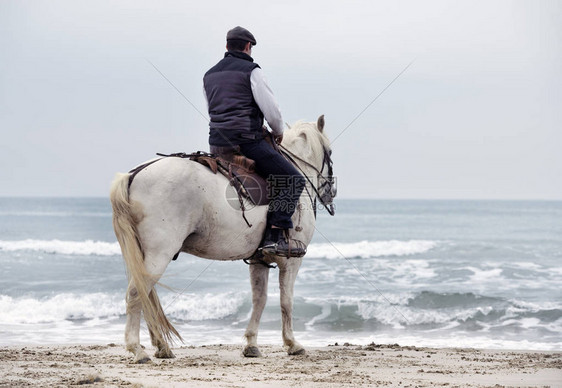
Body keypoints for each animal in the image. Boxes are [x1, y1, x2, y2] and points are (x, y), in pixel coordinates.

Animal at [110, 115, 332, 364]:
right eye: (330, 152)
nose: (331, 193)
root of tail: (135, 174)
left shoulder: (259, 260)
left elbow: (259, 299)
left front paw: (251, 344)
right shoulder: (292, 261)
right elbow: (287, 301)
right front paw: (292, 344)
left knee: (145, 294)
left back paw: (161, 347)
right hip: (159, 253)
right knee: (136, 293)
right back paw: (137, 350)